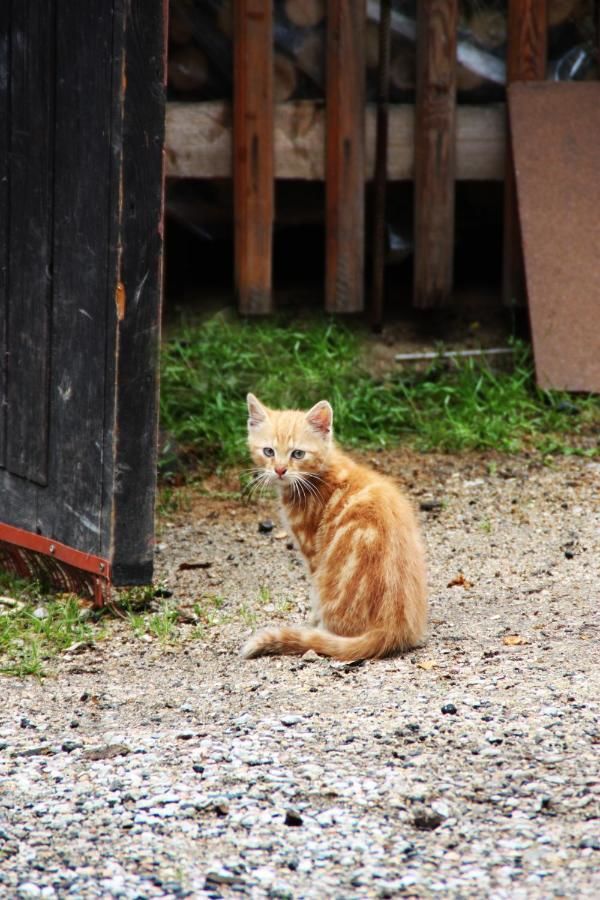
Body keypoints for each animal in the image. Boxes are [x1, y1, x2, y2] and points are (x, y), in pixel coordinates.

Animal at [239, 394, 426, 660]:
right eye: (268, 451)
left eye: (298, 454)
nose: (280, 470)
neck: (321, 473)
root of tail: (391, 629)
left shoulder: (311, 551)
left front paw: (312, 623)